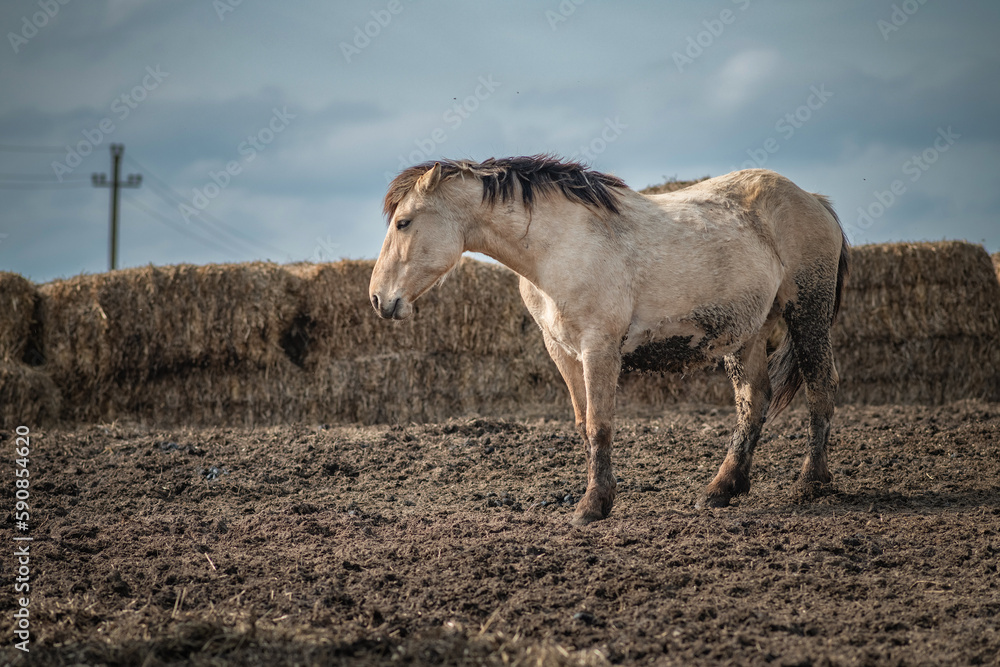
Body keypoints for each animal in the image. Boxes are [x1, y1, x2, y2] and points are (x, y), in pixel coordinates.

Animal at [370, 155, 849, 526]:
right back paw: (721, 489)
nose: (378, 298)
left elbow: (601, 426)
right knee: (753, 402)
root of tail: (814, 200)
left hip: (807, 313)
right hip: (746, 333)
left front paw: (592, 507)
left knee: (820, 389)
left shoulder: (598, 347)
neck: (558, 246)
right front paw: (595, 497)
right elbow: (584, 425)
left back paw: (810, 482)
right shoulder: (563, 353)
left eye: (404, 222)